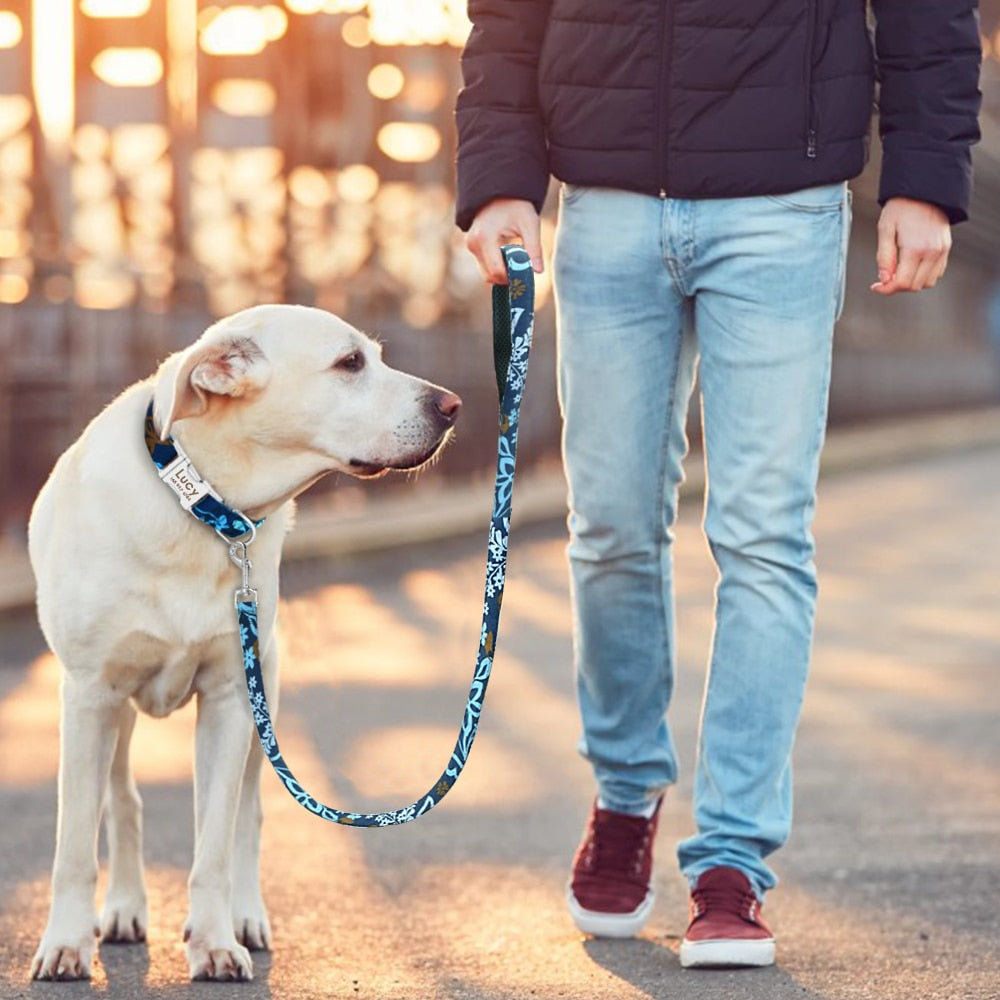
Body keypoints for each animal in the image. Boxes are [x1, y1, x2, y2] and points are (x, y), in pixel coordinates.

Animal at [28, 302, 460, 976]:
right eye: (350, 363)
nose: (452, 405)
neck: (203, 506)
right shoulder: (89, 696)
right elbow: (73, 843)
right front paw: (65, 943)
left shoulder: (232, 699)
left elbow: (215, 844)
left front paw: (213, 940)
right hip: (115, 713)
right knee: (122, 801)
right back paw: (124, 907)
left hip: (266, 700)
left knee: (247, 817)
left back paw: (245, 915)